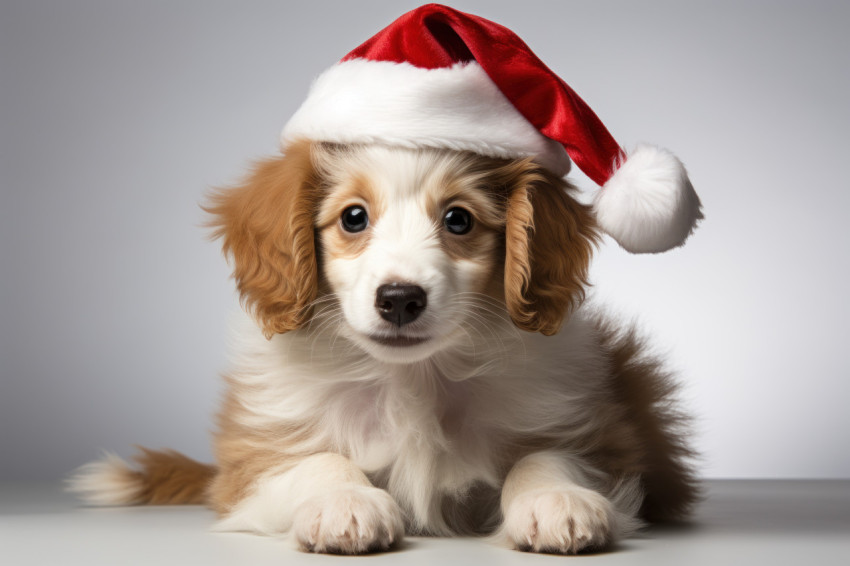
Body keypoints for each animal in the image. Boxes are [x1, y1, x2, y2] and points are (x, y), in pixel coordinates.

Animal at [69, 140, 696, 556]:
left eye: (458, 220)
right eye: (354, 217)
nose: (399, 299)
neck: (412, 377)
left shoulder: (607, 436)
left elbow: (545, 456)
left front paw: (557, 500)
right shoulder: (250, 465)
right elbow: (318, 459)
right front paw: (345, 504)